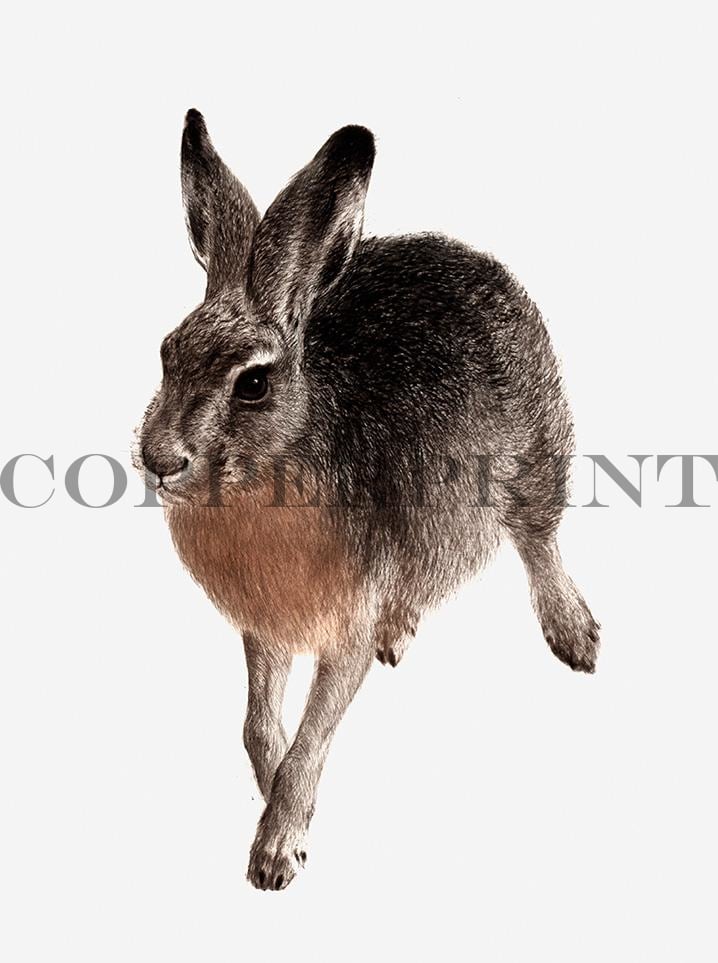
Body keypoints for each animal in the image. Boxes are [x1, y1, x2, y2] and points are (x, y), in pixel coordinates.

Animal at [138, 109, 600, 892]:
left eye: (253, 383)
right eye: (167, 353)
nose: (159, 459)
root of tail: (477, 261)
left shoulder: (342, 628)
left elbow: (311, 734)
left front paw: (277, 848)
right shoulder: (264, 629)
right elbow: (258, 726)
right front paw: (281, 806)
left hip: (537, 452)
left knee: (540, 541)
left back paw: (575, 634)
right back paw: (401, 629)